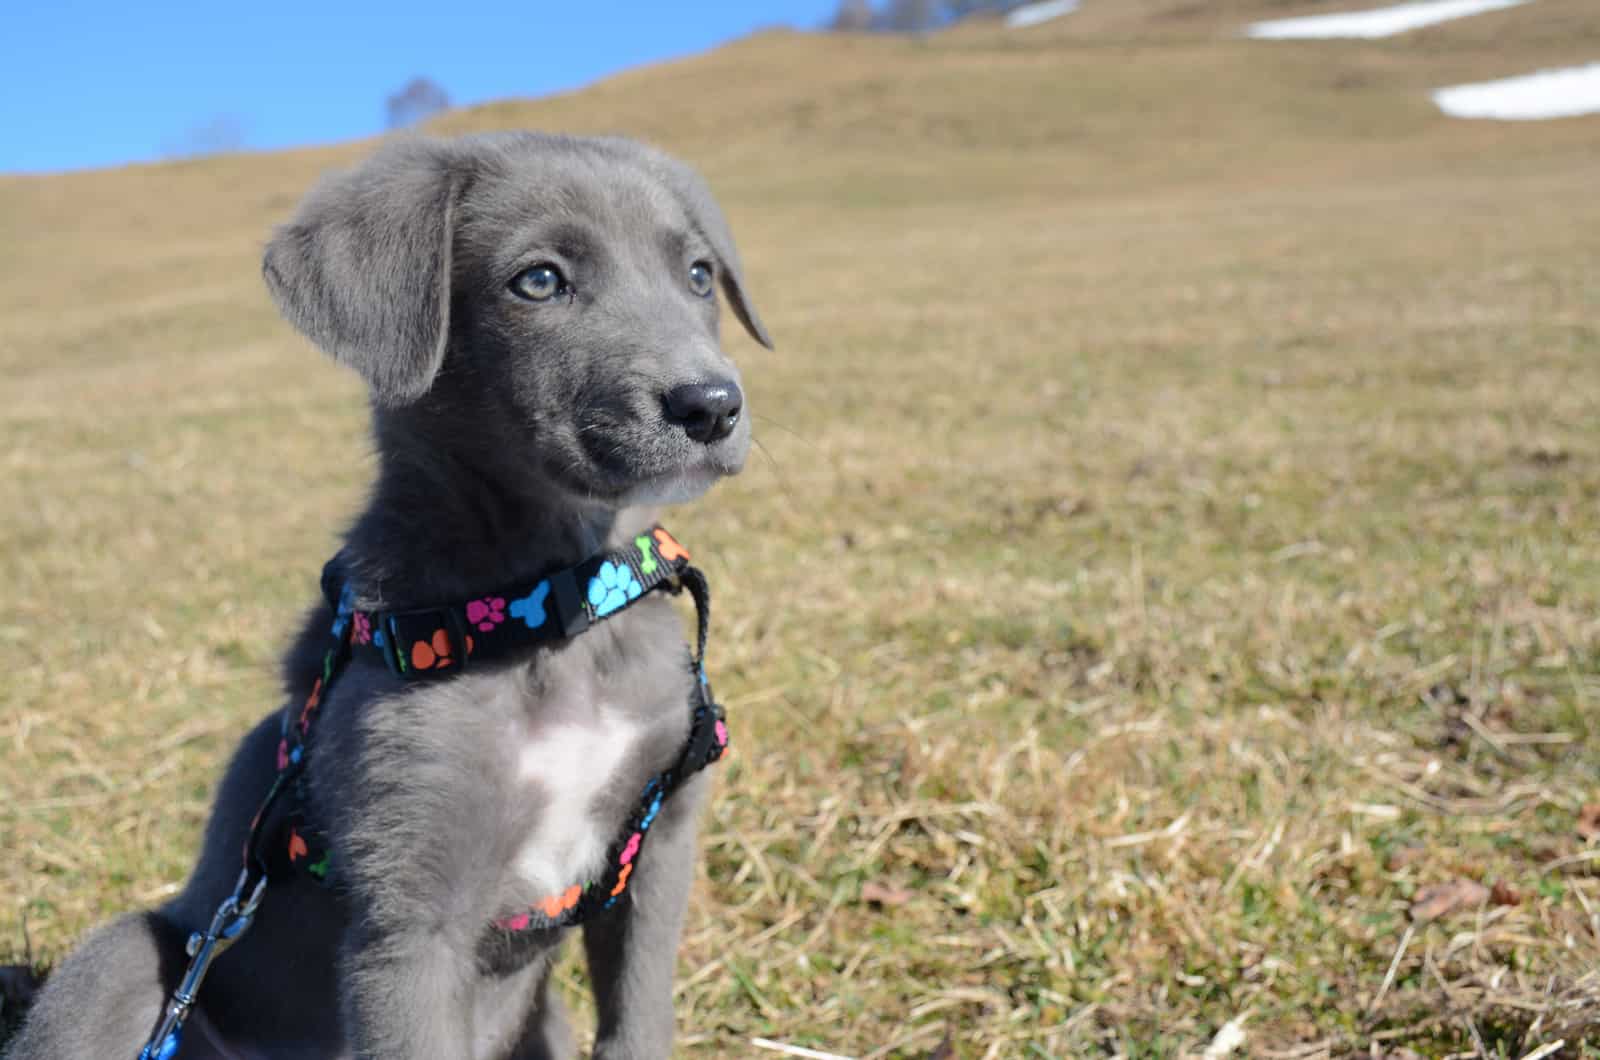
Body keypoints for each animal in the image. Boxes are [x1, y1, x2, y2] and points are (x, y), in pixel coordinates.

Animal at [6, 132, 768, 1060]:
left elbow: (638, 1019)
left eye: (698, 275)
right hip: (128, 958)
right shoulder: (410, 920)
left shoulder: (660, 840)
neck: (548, 609)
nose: (713, 405)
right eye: (539, 281)